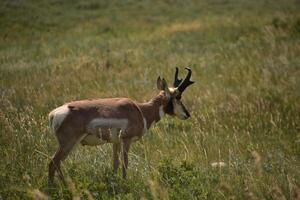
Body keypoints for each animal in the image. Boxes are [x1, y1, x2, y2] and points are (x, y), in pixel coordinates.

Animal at [48, 67, 195, 184]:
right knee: (53, 162)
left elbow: (115, 164)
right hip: (68, 144)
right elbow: (125, 163)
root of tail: (54, 114)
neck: (140, 110)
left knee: (57, 163)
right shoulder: (126, 140)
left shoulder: (116, 142)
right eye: (178, 97)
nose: (187, 114)